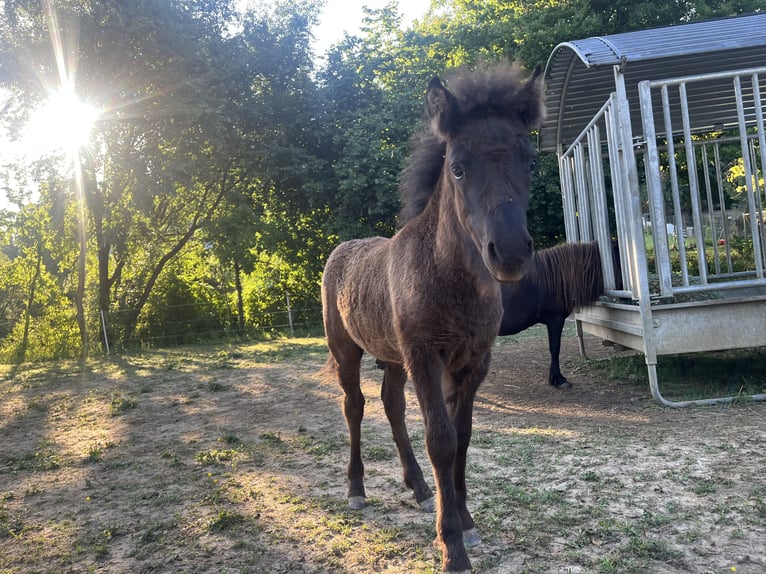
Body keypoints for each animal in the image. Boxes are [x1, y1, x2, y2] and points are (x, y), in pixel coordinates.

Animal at [322, 65, 544, 572]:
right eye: (458, 166)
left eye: (531, 161)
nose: (511, 253)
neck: (448, 276)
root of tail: (341, 250)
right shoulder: (425, 355)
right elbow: (441, 439)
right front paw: (452, 548)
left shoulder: (472, 361)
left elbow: (462, 437)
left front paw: (466, 520)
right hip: (346, 351)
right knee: (354, 406)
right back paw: (356, 489)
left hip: (392, 357)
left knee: (391, 405)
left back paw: (420, 488)